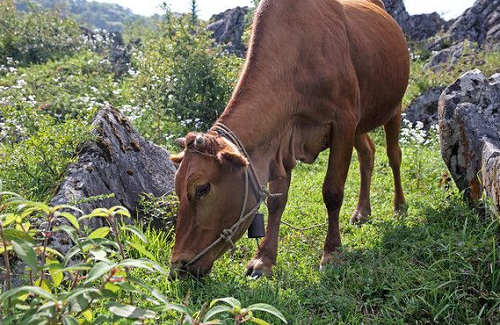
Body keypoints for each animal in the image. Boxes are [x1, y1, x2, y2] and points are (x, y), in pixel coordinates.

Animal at [170, 0, 408, 278]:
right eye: (176, 189)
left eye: (202, 188)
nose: (177, 267)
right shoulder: (282, 141)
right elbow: (276, 201)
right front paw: (263, 259)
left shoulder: (343, 122)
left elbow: (332, 191)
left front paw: (332, 253)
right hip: (361, 122)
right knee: (368, 152)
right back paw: (362, 212)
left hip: (393, 107)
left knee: (394, 155)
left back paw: (399, 206)